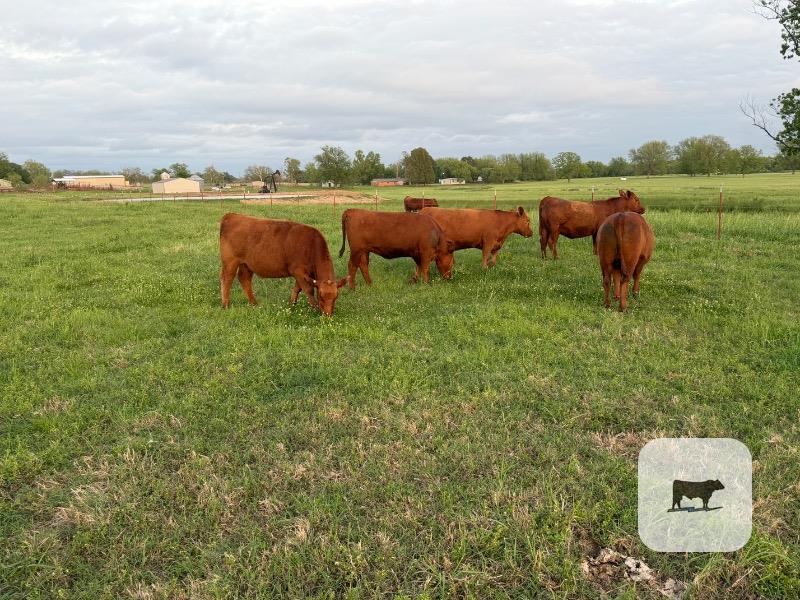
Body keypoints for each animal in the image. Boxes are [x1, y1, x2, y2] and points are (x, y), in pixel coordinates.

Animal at [219, 213, 347, 316]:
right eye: (320, 296)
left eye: (336, 296)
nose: (327, 315)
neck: (311, 244)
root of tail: (232, 215)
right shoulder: (298, 271)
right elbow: (308, 290)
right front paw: (314, 308)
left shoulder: (303, 274)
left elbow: (297, 289)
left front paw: (291, 305)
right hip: (230, 261)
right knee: (227, 279)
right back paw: (226, 305)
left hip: (246, 264)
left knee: (244, 279)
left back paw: (253, 303)